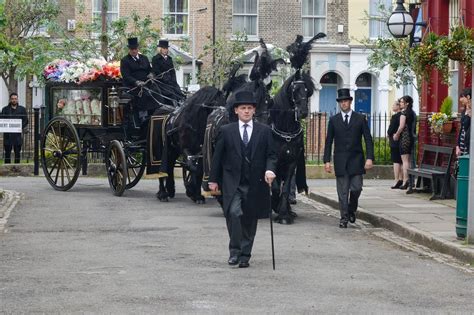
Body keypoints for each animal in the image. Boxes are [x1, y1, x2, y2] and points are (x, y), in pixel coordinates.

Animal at [270, 71, 314, 225]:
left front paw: (284, 214)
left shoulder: (291, 163)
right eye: (294, 90)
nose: (303, 112)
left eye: (307, 90)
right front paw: (276, 206)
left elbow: (285, 187)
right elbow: (275, 187)